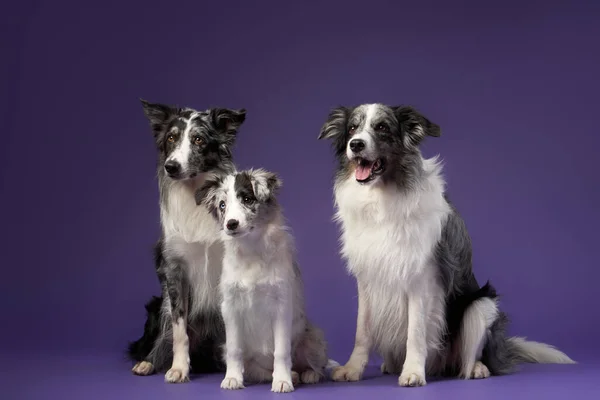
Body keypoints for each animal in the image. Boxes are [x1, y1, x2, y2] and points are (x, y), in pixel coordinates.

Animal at [127, 98, 247, 382]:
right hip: (156, 305)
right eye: (171, 138)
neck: (196, 196)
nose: (171, 166)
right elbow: (179, 330)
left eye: (199, 140)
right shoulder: (174, 270)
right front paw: (179, 368)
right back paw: (148, 362)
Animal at [316, 104, 576, 386]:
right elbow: (361, 332)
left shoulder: (421, 279)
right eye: (352, 128)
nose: (356, 144)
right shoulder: (367, 278)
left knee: (469, 356)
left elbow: (415, 332)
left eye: (382, 127)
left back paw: (476, 368)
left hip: (481, 306)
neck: (384, 198)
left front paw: (413, 372)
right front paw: (352, 369)